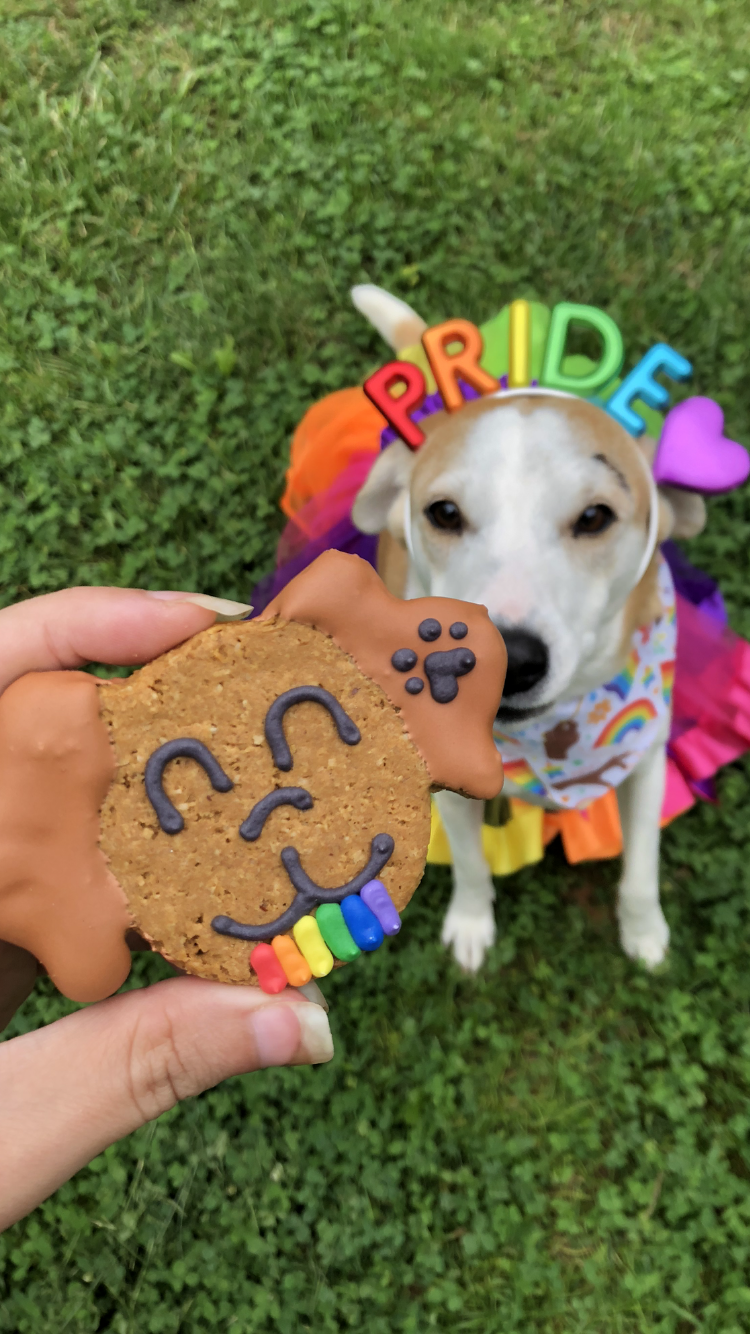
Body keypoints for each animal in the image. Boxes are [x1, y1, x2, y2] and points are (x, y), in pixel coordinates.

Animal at [346, 284, 704, 971]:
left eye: (594, 516)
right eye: (444, 513)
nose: (508, 658)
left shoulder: (646, 759)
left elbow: (642, 868)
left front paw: (644, 931)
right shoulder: (449, 791)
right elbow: (469, 866)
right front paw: (470, 921)